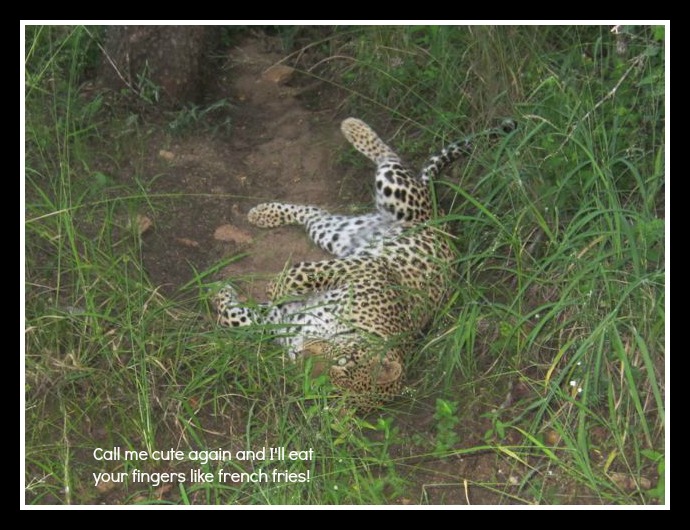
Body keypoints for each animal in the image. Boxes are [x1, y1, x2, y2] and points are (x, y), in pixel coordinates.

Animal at [215, 116, 510, 408]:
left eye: (329, 384)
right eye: (343, 360)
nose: (302, 356)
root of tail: (441, 221)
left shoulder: (280, 320)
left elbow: (233, 319)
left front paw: (221, 292)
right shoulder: (369, 268)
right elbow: (301, 275)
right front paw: (266, 288)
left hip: (338, 233)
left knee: (314, 213)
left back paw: (265, 214)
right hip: (397, 199)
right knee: (391, 160)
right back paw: (352, 128)